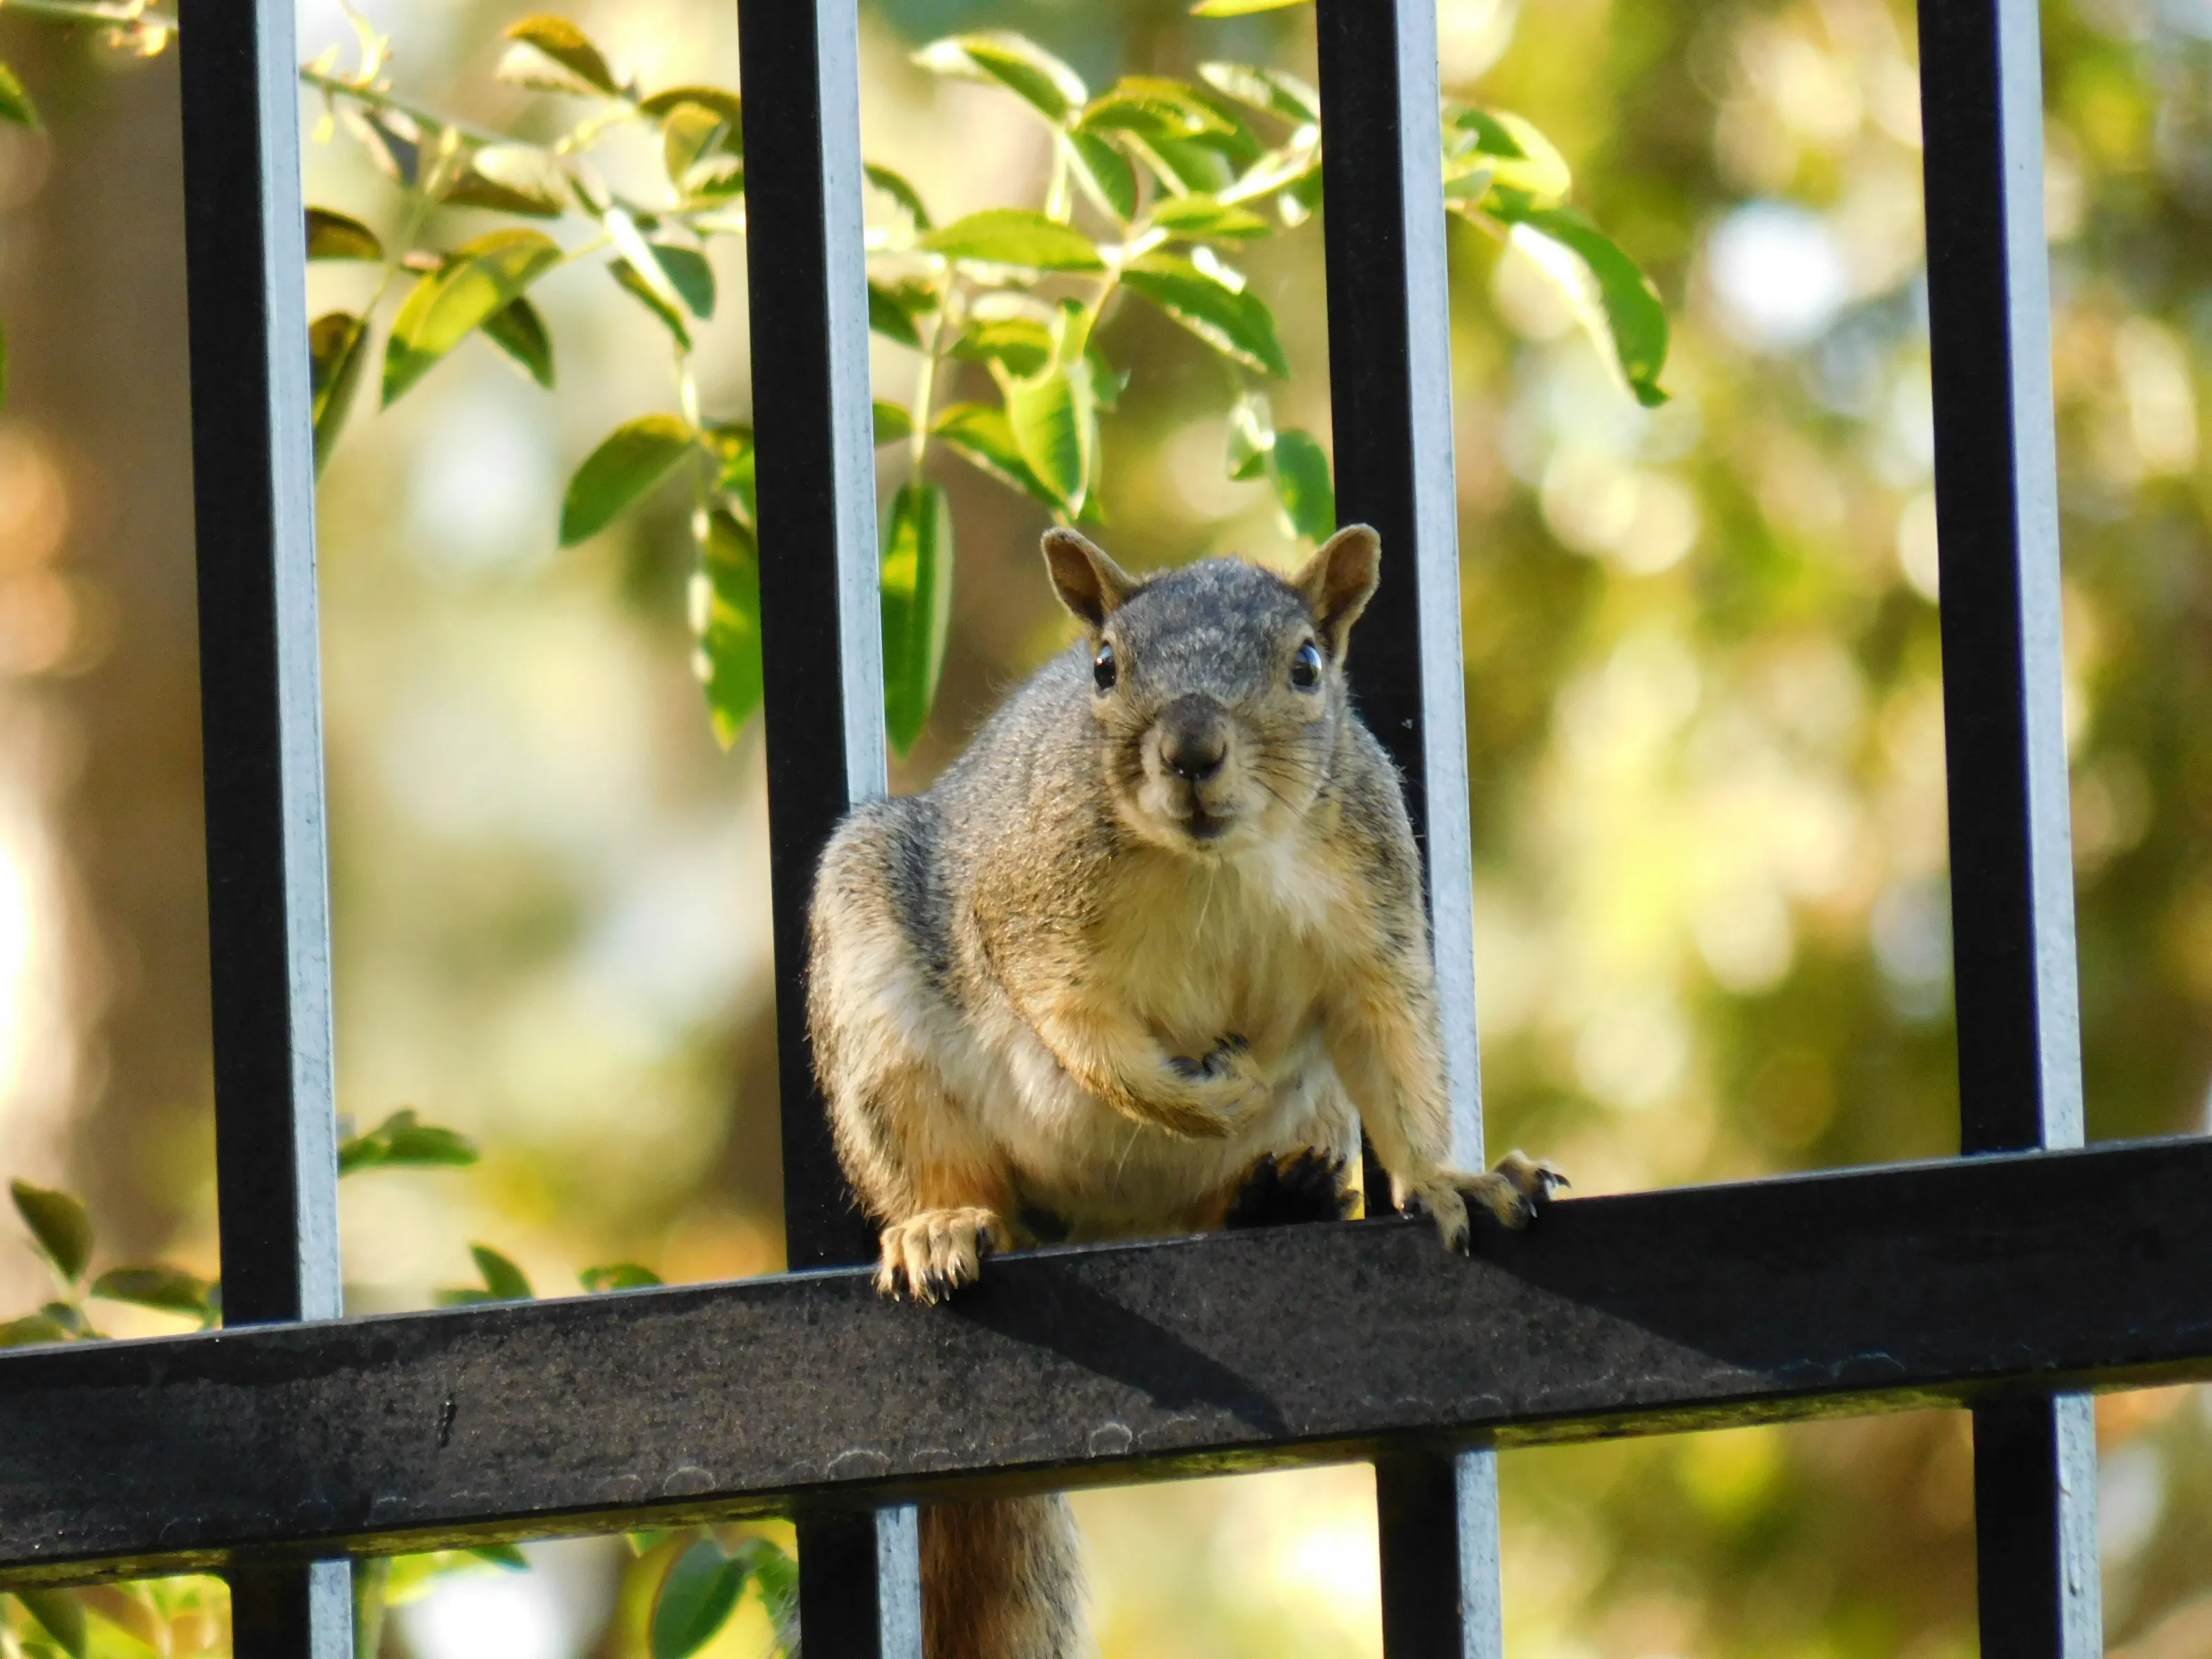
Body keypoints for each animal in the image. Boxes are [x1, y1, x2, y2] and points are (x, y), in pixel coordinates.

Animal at [806, 524, 1563, 1659]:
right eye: (1105, 667)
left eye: (1307, 664)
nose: (1193, 751)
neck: (1215, 862)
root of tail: (1097, 1225)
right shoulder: (1029, 909)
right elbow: (1082, 1033)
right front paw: (1211, 1096)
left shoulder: (1372, 917)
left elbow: (1391, 1049)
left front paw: (1446, 1178)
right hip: (878, 1022)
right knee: (939, 1168)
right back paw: (941, 1224)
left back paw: (1276, 1194)